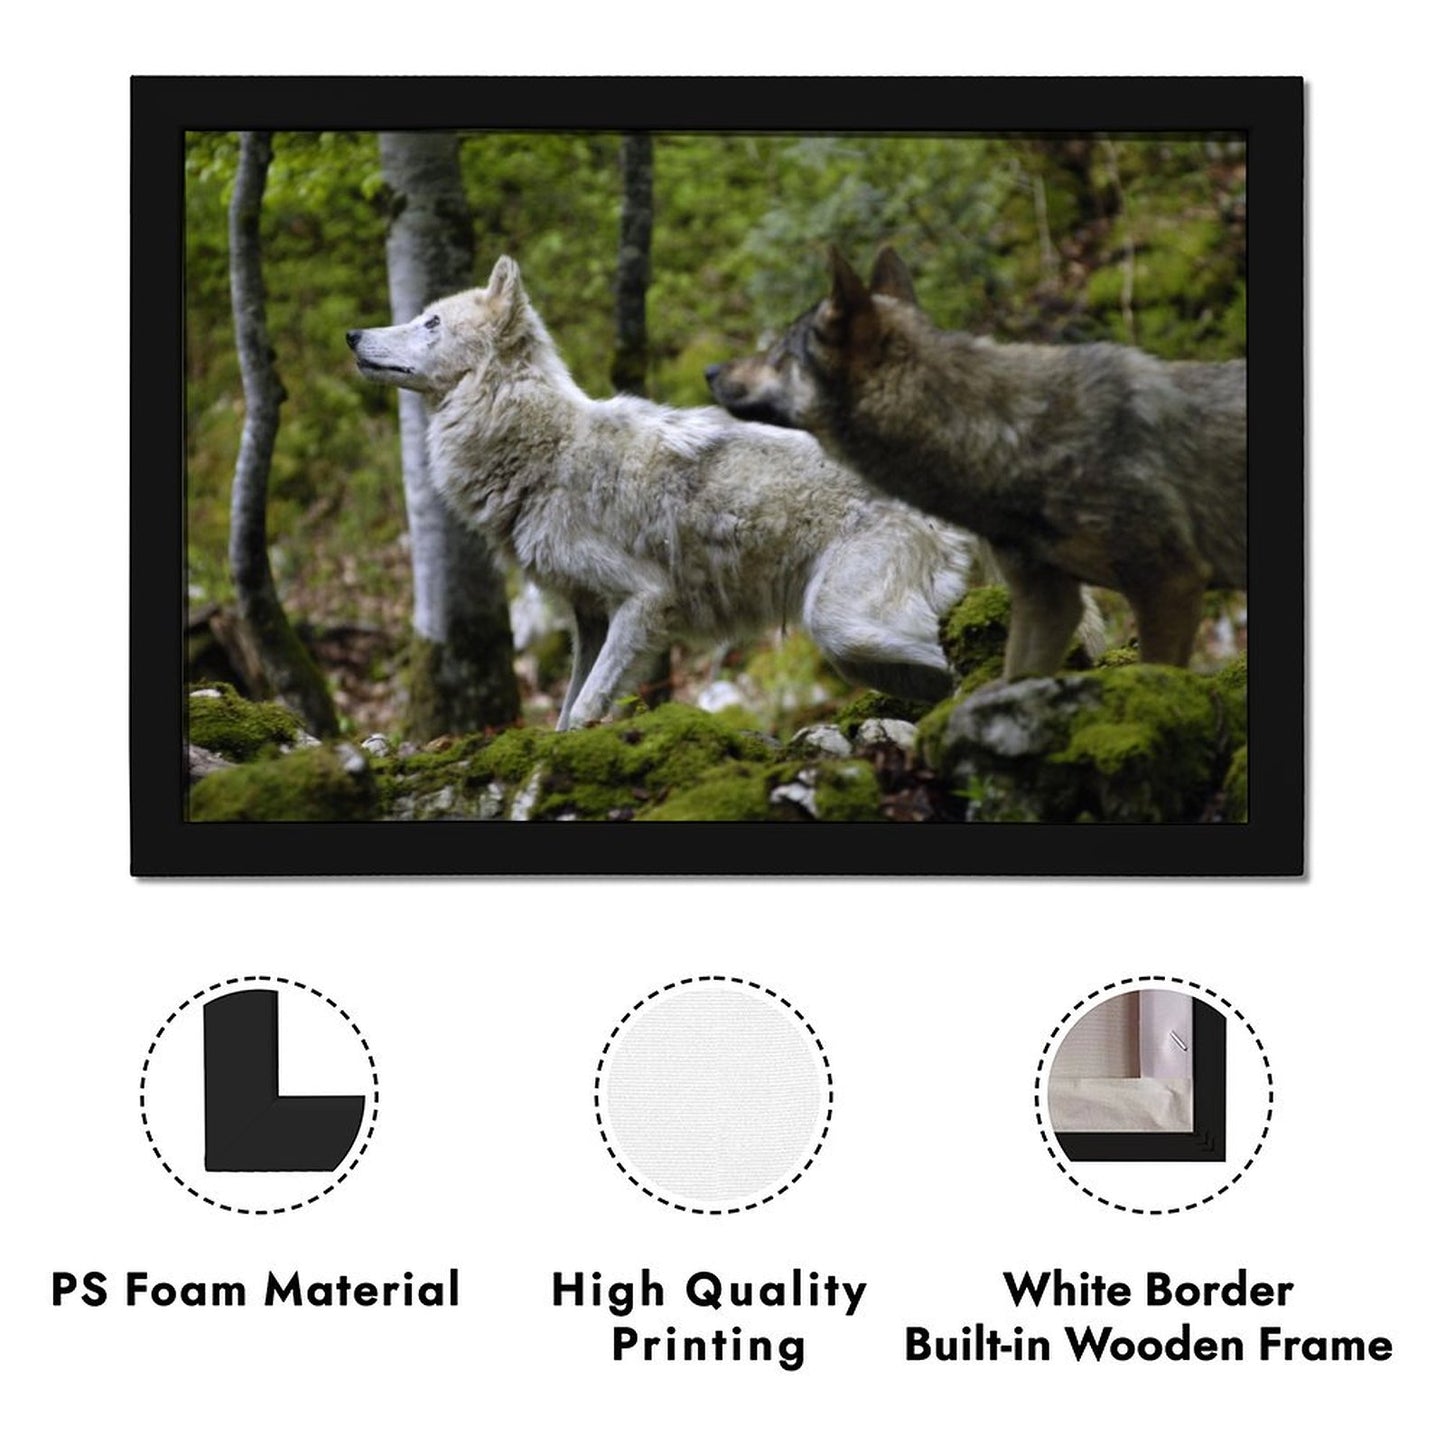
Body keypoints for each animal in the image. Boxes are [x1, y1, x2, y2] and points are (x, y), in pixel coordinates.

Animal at [347, 255, 981, 729]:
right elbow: (566, 711)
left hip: (841, 627)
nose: (353, 334)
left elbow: (584, 709)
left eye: (432, 323)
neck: (545, 448)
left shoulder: (643, 599)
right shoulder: (588, 618)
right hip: (858, 656)